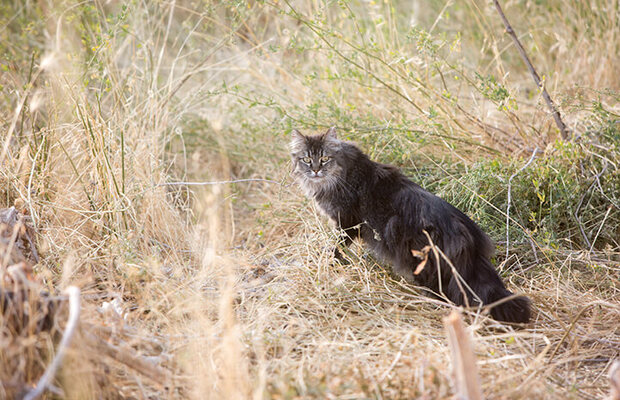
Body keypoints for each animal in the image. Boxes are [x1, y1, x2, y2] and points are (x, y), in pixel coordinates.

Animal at [290, 126, 532, 324]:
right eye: (306, 160)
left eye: (324, 158)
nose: (315, 170)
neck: (340, 174)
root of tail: (464, 230)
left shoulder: (346, 223)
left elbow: (336, 247)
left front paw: (330, 262)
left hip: (425, 266)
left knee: (445, 294)